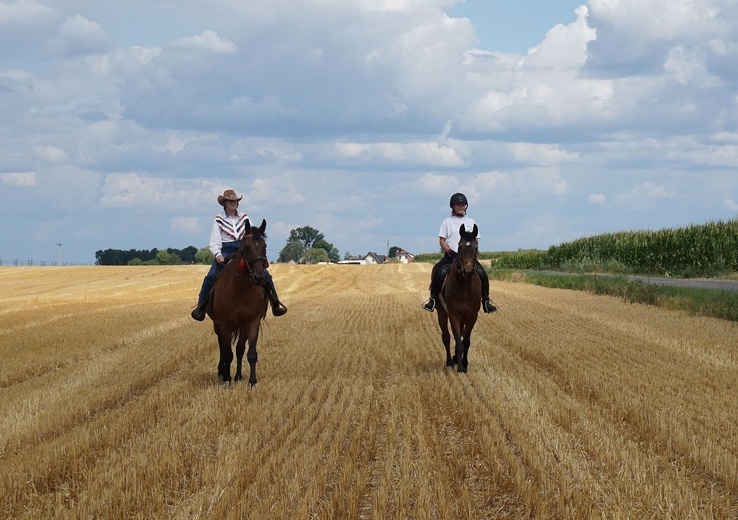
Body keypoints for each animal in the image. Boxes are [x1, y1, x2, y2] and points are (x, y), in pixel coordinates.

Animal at [207, 216, 270, 386]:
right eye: (246, 247)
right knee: (222, 347)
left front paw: (252, 382)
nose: (259, 277)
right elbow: (228, 354)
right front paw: (227, 380)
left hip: (242, 326)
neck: (240, 289)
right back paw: (222, 372)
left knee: (240, 349)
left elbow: (250, 353)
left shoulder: (252, 322)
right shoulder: (225, 323)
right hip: (218, 325)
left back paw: (238, 376)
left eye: (264, 247)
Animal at [434, 223, 480, 374]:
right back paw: (450, 361)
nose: (467, 271)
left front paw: (464, 363)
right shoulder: (453, 314)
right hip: (442, 313)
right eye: (459, 247)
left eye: (475, 247)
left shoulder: (472, 315)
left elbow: (465, 340)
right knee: (446, 337)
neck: (464, 287)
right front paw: (460, 368)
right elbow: (458, 342)